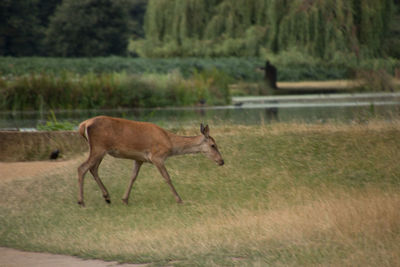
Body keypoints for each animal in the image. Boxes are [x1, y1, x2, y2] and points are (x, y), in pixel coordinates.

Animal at [76, 115, 223, 207]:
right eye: (213, 145)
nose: (221, 161)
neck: (170, 143)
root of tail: (83, 125)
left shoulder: (139, 159)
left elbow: (133, 177)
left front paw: (125, 200)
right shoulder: (157, 156)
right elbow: (167, 177)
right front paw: (179, 200)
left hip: (99, 150)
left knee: (93, 169)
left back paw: (107, 197)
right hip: (99, 147)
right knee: (82, 168)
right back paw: (81, 202)